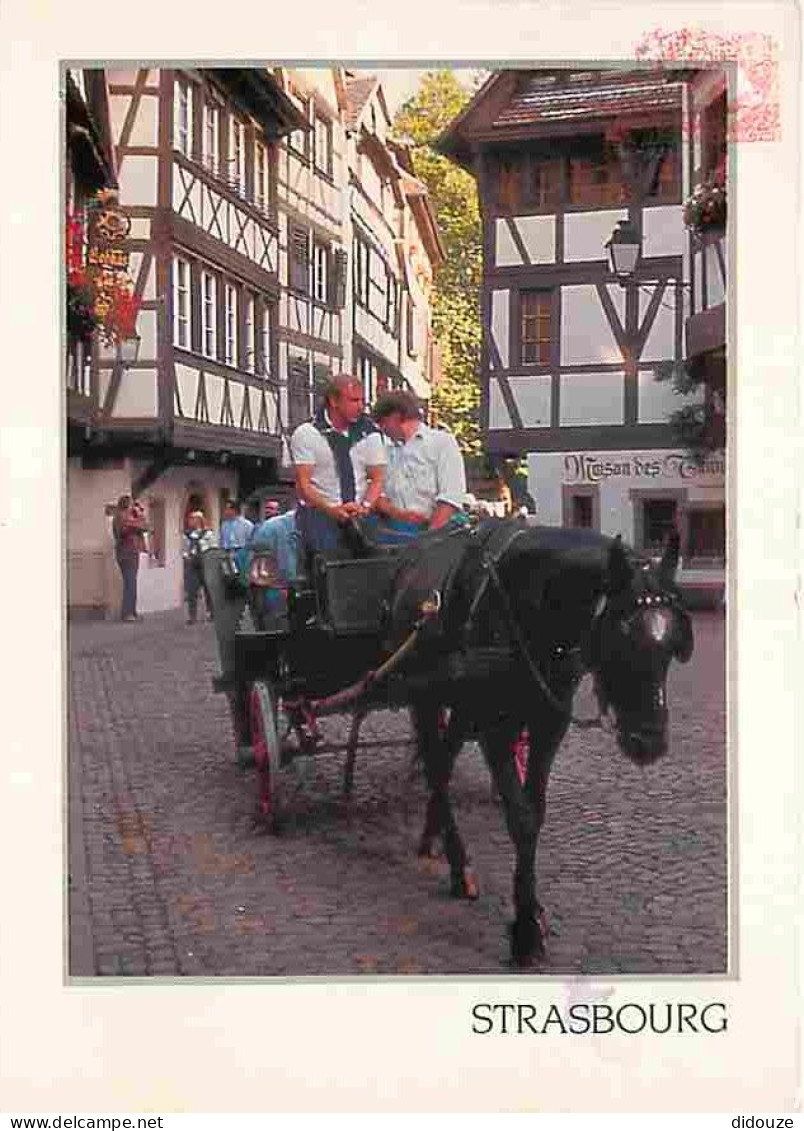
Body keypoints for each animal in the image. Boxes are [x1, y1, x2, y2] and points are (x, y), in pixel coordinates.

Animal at [379, 517, 696, 968]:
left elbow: (537, 811)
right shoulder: (496, 730)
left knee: (442, 760)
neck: (527, 604)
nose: (647, 741)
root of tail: (408, 558)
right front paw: (525, 930)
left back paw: (431, 836)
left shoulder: (548, 724)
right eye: (621, 638)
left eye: (673, 644)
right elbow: (522, 819)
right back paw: (458, 867)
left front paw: (535, 913)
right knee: (437, 770)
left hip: (461, 704)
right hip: (424, 698)